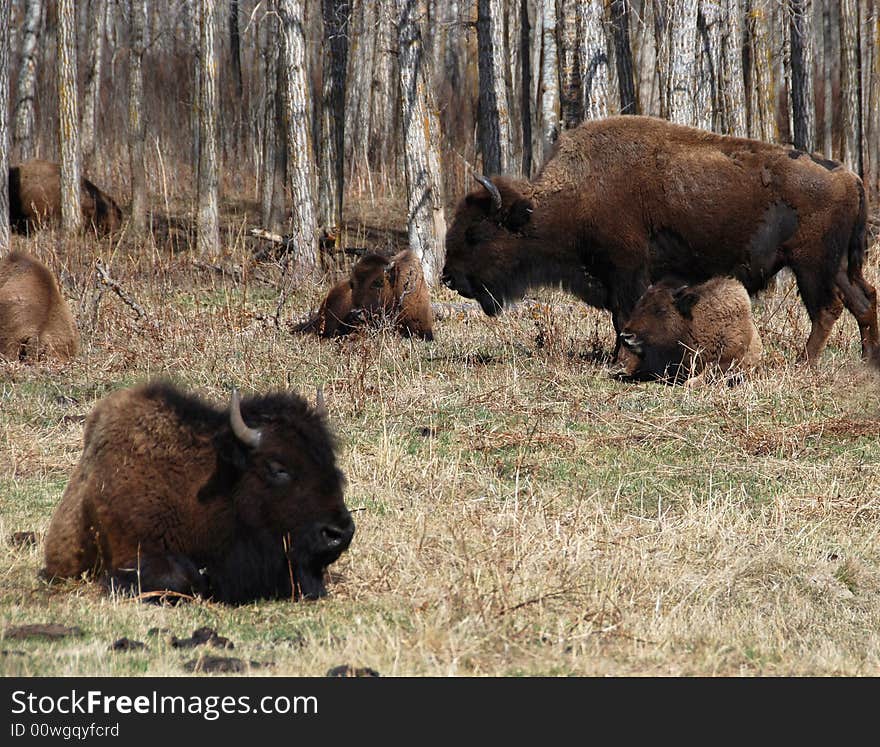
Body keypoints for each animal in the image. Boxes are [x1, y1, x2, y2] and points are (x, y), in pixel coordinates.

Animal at [444, 113, 876, 366]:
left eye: (475, 233)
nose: (448, 277)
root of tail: (851, 176)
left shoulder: (626, 272)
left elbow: (623, 316)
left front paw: (620, 358)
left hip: (811, 265)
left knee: (828, 309)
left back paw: (804, 363)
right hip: (837, 266)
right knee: (863, 301)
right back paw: (868, 359)